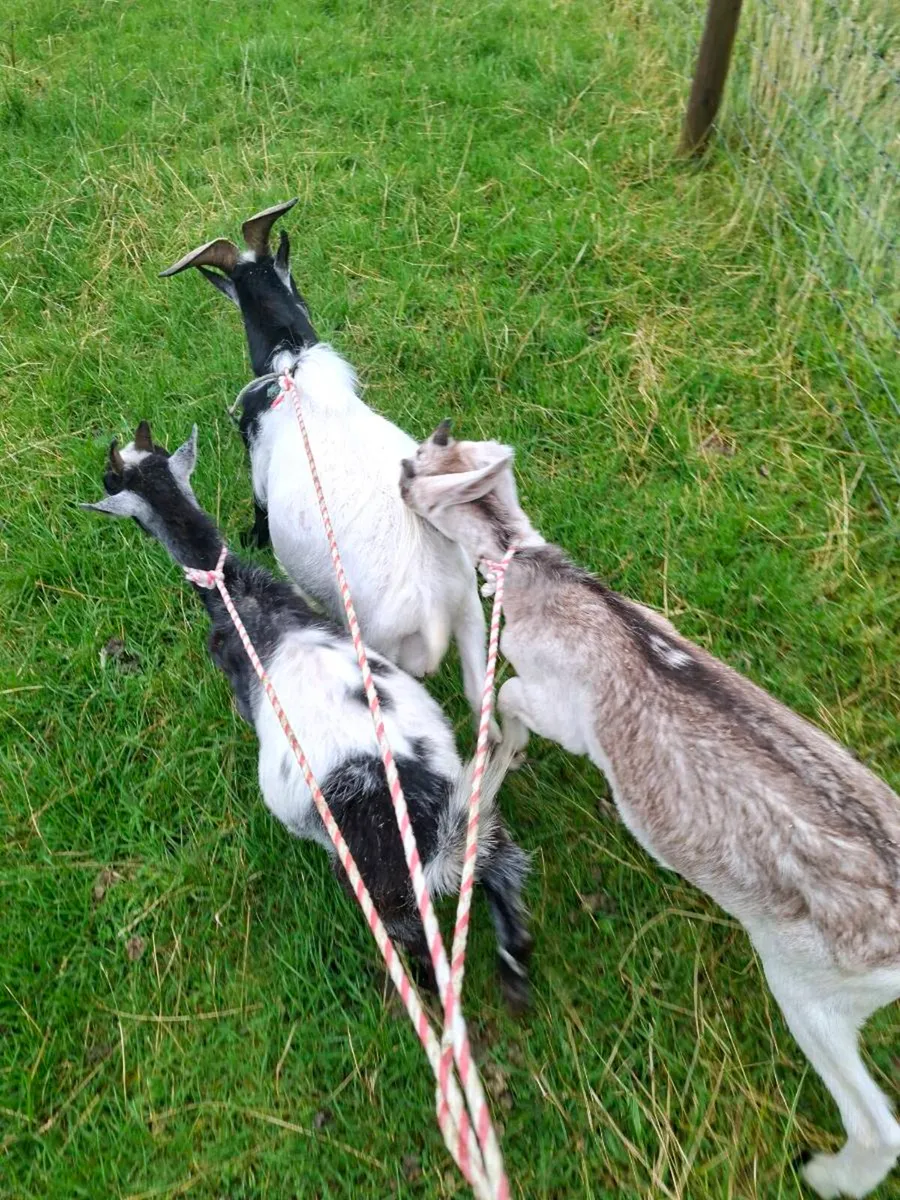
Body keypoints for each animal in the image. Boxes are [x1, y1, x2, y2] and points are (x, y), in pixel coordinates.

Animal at [81, 421, 532, 1009]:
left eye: (111, 481)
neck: (249, 605)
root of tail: (439, 837)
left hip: (390, 901)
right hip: (487, 837)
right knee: (508, 884)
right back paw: (514, 972)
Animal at [399, 423, 900, 1199]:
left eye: (418, 467)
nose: (400, 468)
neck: (531, 573)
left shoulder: (558, 705)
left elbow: (510, 699)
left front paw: (500, 763)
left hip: (812, 986)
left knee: (877, 1125)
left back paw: (823, 1173)